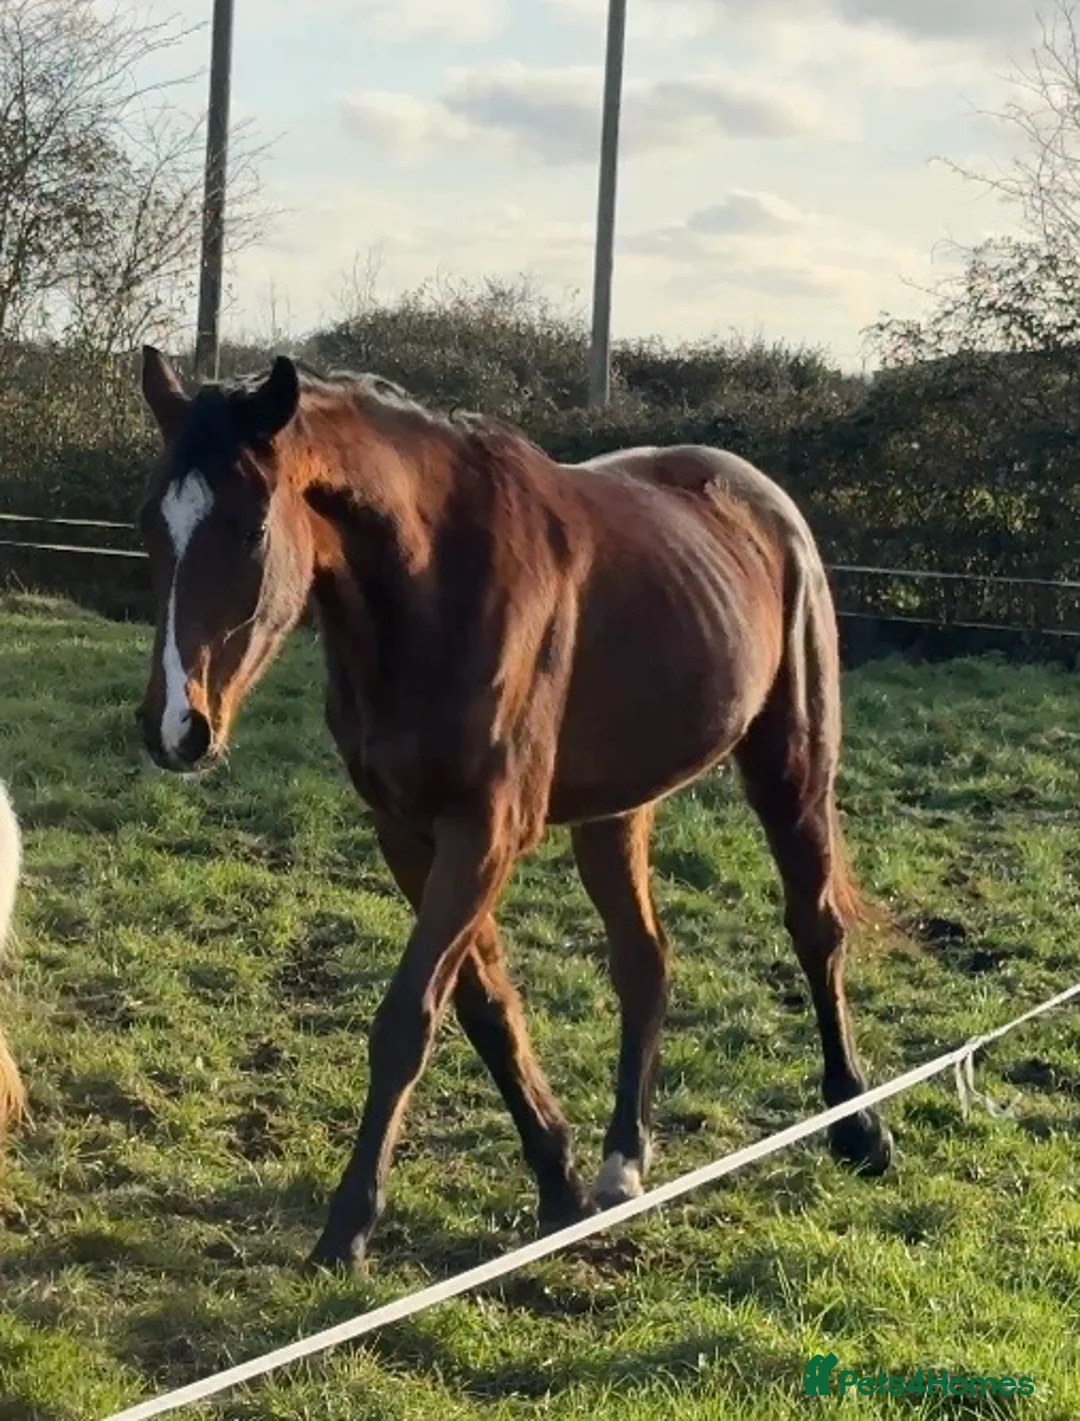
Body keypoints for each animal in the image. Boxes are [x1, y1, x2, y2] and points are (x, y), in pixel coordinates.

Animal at [135, 345, 894, 1274]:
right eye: (150, 523)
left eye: (249, 530)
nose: (175, 725)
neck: (433, 588)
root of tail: (765, 502)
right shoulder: (408, 833)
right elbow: (484, 1008)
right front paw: (558, 1183)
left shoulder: (483, 831)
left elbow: (407, 1021)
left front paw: (346, 1230)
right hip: (616, 812)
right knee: (644, 961)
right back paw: (622, 1162)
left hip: (791, 768)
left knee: (816, 930)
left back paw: (858, 1127)